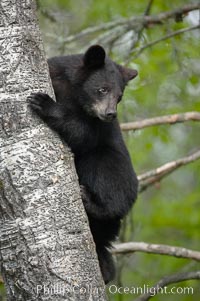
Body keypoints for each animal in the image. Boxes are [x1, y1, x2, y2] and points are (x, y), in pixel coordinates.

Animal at [28, 45, 138, 284]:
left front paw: (45, 104)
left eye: (120, 96)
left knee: (107, 177)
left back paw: (90, 200)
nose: (110, 114)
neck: (73, 91)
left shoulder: (95, 126)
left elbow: (82, 134)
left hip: (112, 169)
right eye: (102, 89)